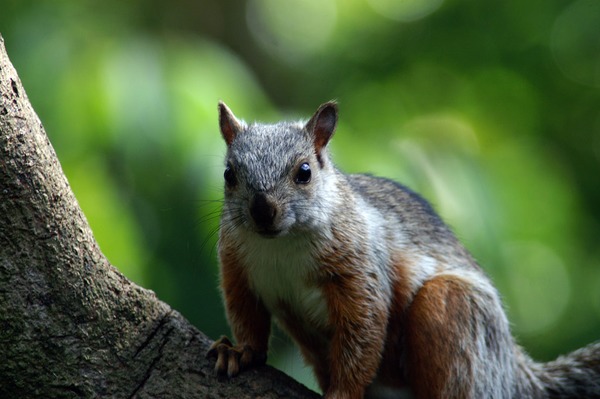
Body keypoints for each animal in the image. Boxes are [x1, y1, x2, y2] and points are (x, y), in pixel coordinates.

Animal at [207, 102, 600, 399]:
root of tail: (514, 375)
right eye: (228, 174)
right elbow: (246, 315)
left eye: (304, 172)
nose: (262, 211)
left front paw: (342, 394)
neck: (281, 245)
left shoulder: (361, 267)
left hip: (455, 315)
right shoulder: (236, 267)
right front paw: (240, 352)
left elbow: (363, 333)